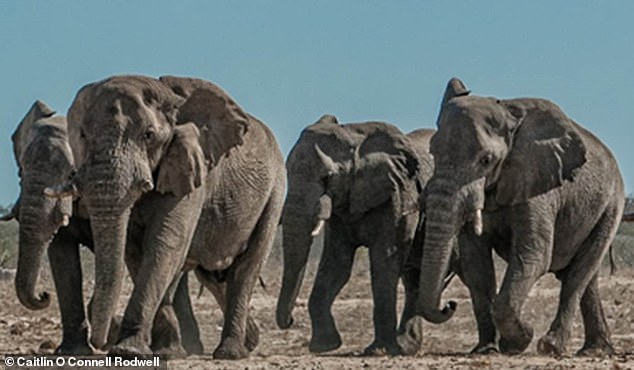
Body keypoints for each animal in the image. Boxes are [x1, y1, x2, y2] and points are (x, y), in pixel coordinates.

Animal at [44, 75, 282, 358]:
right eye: (81, 135)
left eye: (148, 136)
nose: (99, 343)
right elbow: (136, 250)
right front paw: (164, 351)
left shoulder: (191, 164)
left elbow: (164, 242)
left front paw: (129, 351)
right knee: (212, 274)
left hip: (275, 193)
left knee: (246, 268)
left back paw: (231, 353)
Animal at [276, 113, 434, 356]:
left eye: (327, 178)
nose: (291, 320)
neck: (354, 136)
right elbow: (336, 264)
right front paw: (324, 346)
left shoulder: (398, 194)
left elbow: (384, 261)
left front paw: (378, 351)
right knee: (413, 278)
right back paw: (407, 347)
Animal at [410, 77, 624, 356]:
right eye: (433, 153)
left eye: (486, 160)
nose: (450, 304)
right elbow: (476, 263)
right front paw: (486, 349)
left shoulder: (537, 185)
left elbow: (533, 254)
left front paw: (518, 341)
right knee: (587, 279)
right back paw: (594, 350)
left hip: (611, 206)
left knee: (578, 275)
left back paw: (551, 347)